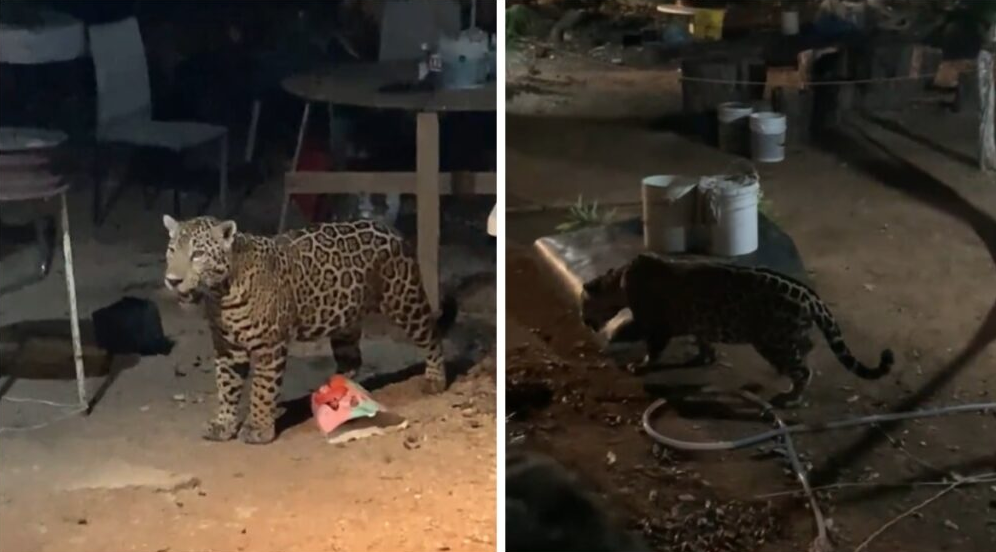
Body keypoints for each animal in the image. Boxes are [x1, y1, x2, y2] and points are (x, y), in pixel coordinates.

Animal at [162, 215, 456, 444]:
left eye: (198, 255)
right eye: (171, 250)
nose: (172, 281)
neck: (220, 294)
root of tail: (391, 229)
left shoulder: (270, 346)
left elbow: (261, 389)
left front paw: (258, 429)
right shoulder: (227, 348)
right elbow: (226, 387)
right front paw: (223, 425)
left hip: (404, 299)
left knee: (432, 334)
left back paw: (435, 380)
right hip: (344, 319)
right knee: (352, 360)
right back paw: (333, 394)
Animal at [580, 253, 893, 407]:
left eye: (583, 304)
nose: (583, 320)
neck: (618, 282)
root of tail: (813, 298)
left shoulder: (656, 324)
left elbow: (649, 344)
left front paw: (638, 362)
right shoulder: (697, 322)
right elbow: (703, 339)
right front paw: (704, 357)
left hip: (773, 342)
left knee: (803, 371)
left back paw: (790, 397)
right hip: (789, 337)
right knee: (806, 351)